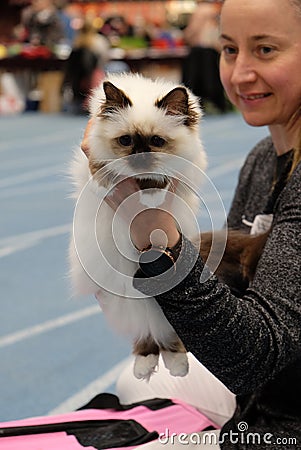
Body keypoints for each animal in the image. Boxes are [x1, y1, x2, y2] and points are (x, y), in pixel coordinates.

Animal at [68, 73, 206, 380]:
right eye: (126, 140)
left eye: (156, 141)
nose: (140, 157)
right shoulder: (96, 154)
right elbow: (102, 169)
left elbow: (160, 178)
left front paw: (151, 193)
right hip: (127, 299)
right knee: (145, 333)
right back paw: (144, 364)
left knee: (167, 335)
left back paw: (177, 365)